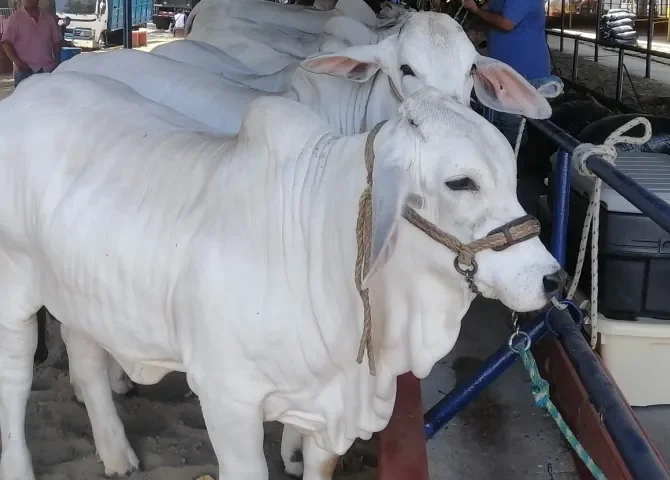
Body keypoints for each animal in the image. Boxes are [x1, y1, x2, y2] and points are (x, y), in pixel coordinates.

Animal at [0, 71, 560, 480]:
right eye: (461, 182)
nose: (551, 279)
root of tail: (26, 91)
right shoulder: (227, 398)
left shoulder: (328, 415)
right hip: (14, 295)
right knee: (16, 382)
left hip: (78, 291)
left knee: (87, 365)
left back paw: (117, 455)